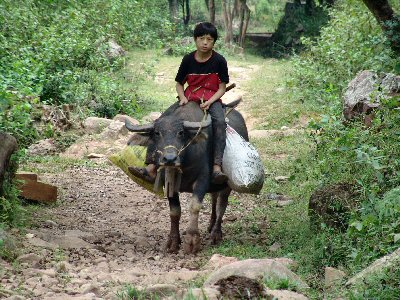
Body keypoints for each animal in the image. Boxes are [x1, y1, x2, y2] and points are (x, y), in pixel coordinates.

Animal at [126, 101, 248, 253]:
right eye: (157, 133)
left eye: (181, 133)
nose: (170, 159)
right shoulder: (168, 181)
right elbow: (175, 211)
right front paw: (173, 241)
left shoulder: (202, 179)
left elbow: (194, 206)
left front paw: (192, 241)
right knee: (214, 198)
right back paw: (211, 224)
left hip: (226, 185)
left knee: (222, 204)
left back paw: (216, 233)